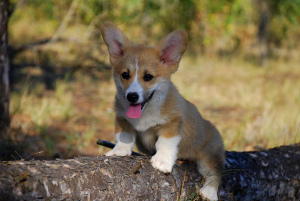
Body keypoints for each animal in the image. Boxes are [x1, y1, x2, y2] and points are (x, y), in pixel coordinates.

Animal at [102, 22, 224, 201]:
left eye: (148, 77)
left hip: (209, 154)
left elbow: (165, 143)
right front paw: (119, 151)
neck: (146, 110)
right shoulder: (122, 119)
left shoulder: (172, 124)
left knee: (214, 173)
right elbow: (123, 137)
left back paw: (209, 192)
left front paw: (162, 161)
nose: (132, 96)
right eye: (125, 75)